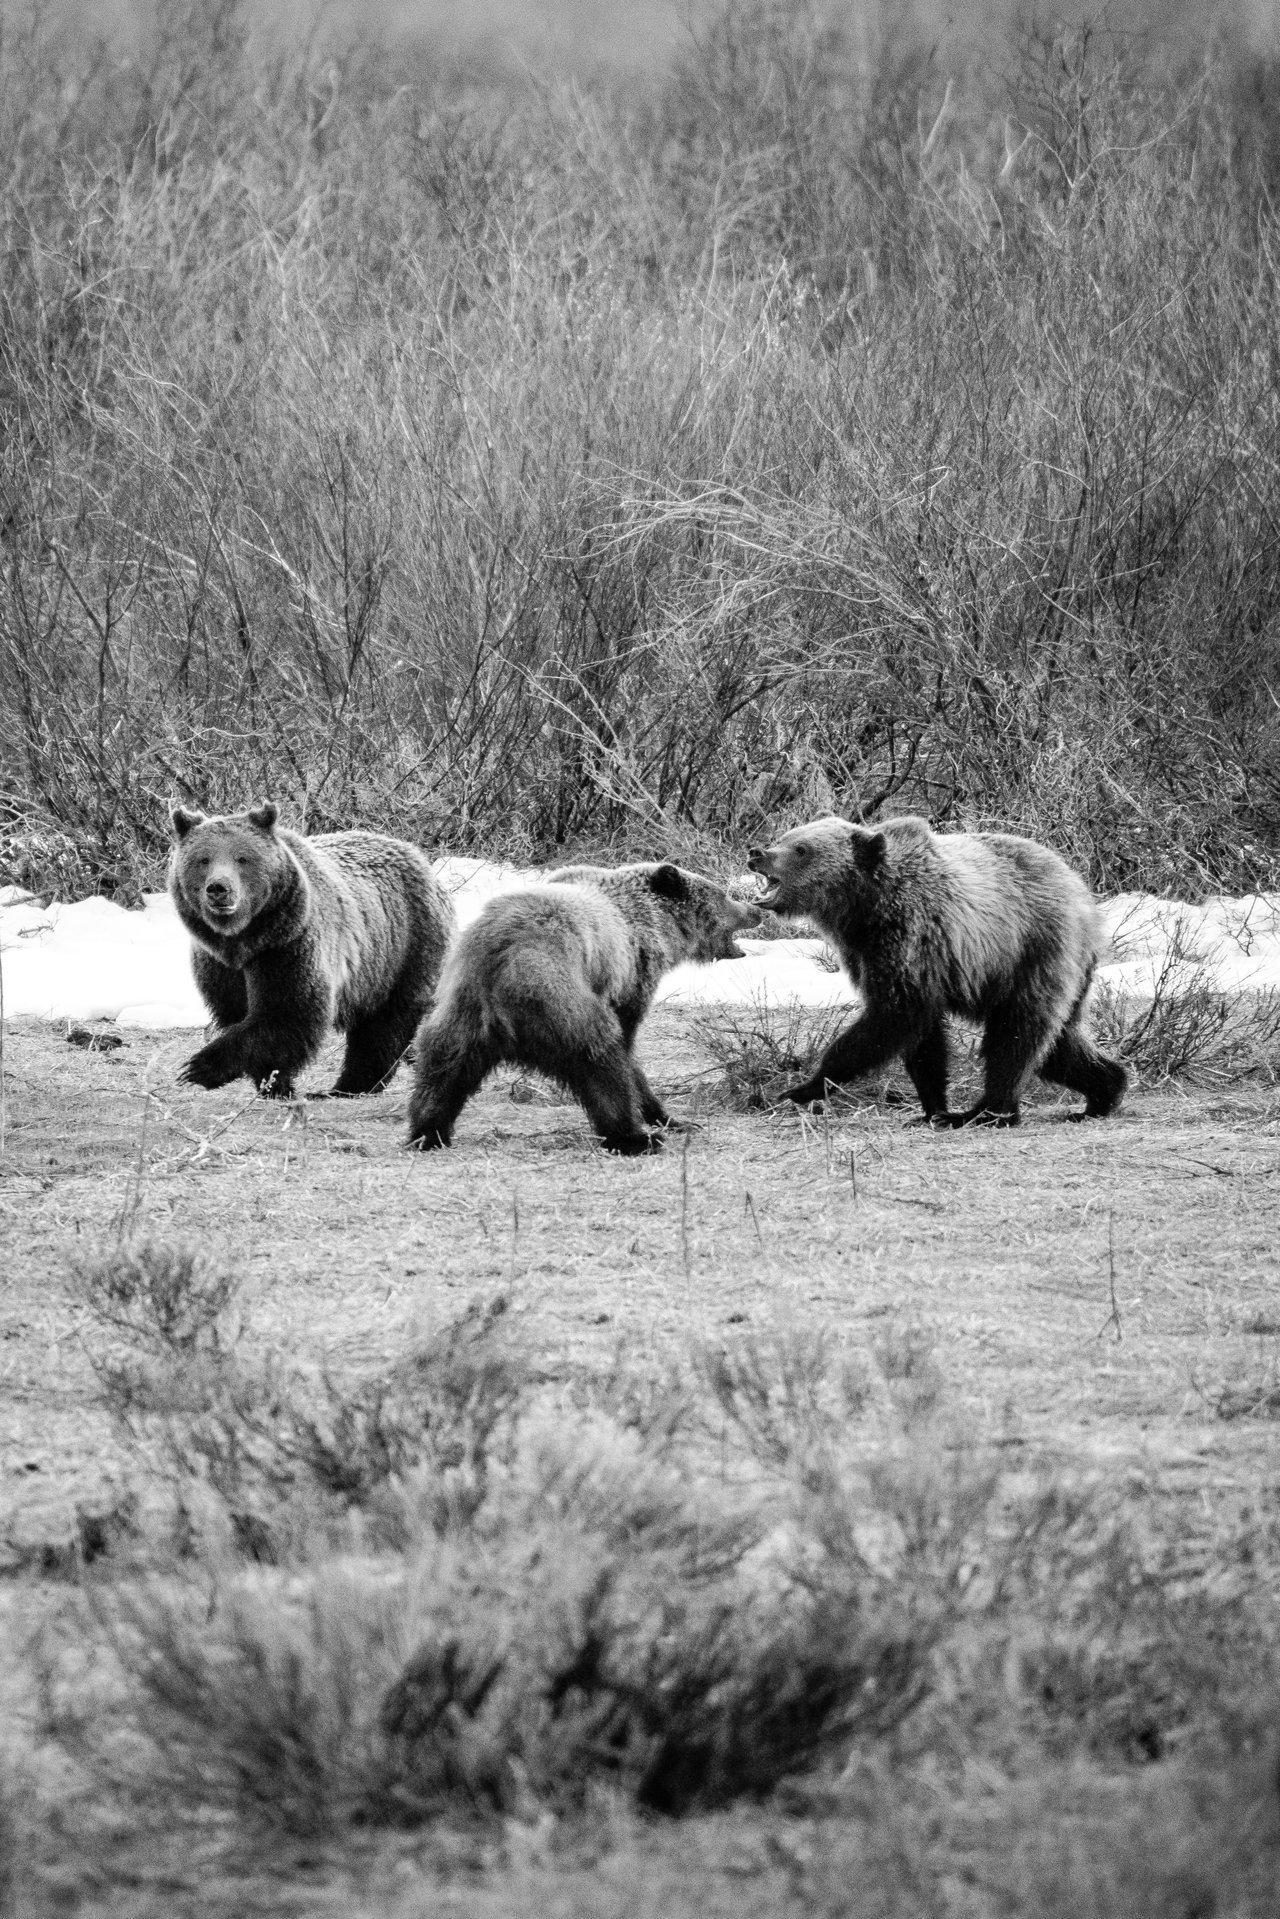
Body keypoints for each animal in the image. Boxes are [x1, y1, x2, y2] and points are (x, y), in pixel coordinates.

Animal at [169, 801, 455, 1100]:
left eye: (242, 858)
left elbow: (287, 1012)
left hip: (404, 945)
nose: (219, 889)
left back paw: (349, 1086)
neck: (244, 939)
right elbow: (239, 1013)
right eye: (203, 859)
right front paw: (274, 1085)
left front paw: (198, 1067)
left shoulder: (288, 944)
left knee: (386, 1024)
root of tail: (419, 857)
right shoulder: (219, 964)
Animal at [405, 861, 760, 1155]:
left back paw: (427, 1132)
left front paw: (673, 1118)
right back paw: (634, 1138)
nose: (755, 909)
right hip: (559, 996)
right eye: (722, 894)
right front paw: (664, 1117)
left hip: (462, 1007)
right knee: (599, 1059)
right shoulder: (629, 979)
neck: (650, 924)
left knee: (443, 1067)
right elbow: (627, 1049)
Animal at [747, 815, 1127, 1128]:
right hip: (1062, 972)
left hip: (1033, 950)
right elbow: (922, 1038)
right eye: (785, 836)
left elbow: (893, 1017)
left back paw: (989, 1112)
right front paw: (931, 1110)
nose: (757, 852)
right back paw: (1104, 1092)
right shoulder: (870, 955)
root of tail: (1082, 892)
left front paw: (804, 1088)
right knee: (1058, 1044)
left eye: (801, 849)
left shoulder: (910, 937)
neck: (864, 908)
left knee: (1014, 1036)